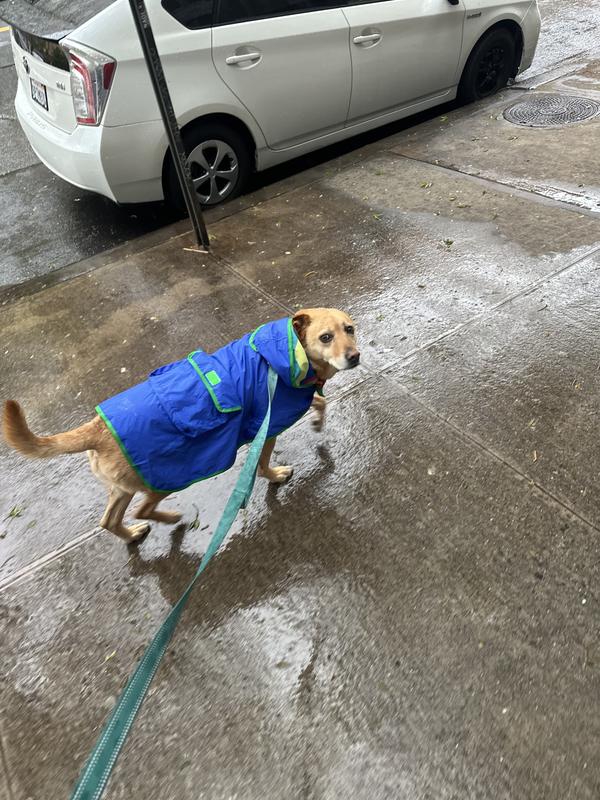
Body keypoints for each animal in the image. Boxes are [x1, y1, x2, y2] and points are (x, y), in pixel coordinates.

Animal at [2, 308, 359, 543]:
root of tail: (97, 427)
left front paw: (318, 420)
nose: (354, 356)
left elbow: (320, 402)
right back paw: (170, 519)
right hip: (166, 480)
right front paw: (274, 475)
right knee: (142, 509)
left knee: (110, 521)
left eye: (350, 329)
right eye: (326, 337)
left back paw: (131, 535)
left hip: (122, 488)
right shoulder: (267, 425)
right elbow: (262, 463)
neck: (282, 354)